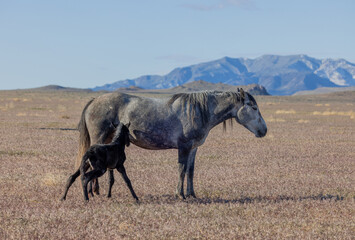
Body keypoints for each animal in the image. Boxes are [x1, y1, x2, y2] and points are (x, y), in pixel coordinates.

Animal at [77, 88, 268, 199]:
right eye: (253, 107)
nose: (264, 130)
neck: (200, 111)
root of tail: (94, 100)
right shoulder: (184, 147)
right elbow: (181, 169)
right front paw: (180, 194)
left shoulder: (193, 149)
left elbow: (190, 171)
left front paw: (192, 194)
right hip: (99, 141)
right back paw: (93, 191)